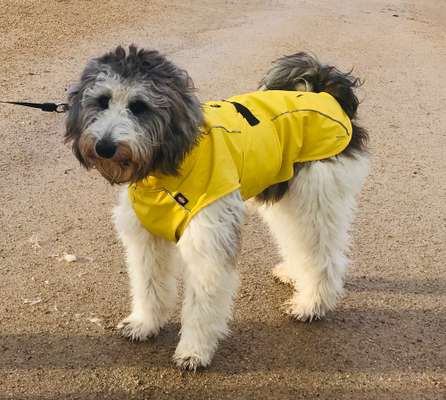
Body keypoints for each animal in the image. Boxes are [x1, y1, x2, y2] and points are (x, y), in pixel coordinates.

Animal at [63, 45, 370, 370]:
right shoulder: (146, 239)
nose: (104, 147)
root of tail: (324, 92)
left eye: (138, 106)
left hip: (315, 199)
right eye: (102, 101)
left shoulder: (207, 246)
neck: (166, 169)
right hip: (284, 194)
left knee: (322, 254)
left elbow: (202, 305)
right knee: (296, 240)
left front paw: (194, 351)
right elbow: (149, 285)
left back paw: (311, 304)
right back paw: (294, 273)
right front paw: (145, 323)